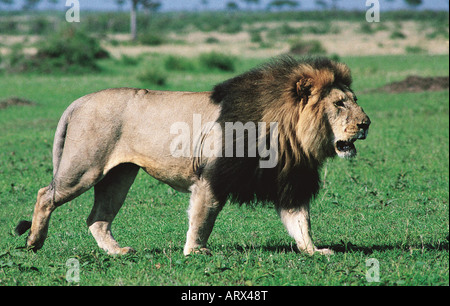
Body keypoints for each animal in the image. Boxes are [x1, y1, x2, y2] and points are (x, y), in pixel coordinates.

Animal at [15, 56, 370, 256]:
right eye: (339, 104)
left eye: (353, 100)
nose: (366, 124)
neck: (290, 135)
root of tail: (80, 100)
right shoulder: (211, 177)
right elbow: (203, 217)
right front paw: (196, 252)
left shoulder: (290, 183)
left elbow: (301, 222)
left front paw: (315, 251)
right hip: (85, 167)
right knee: (45, 194)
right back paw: (33, 242)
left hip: (119, 175)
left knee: (97, 219)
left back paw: (118, 252)